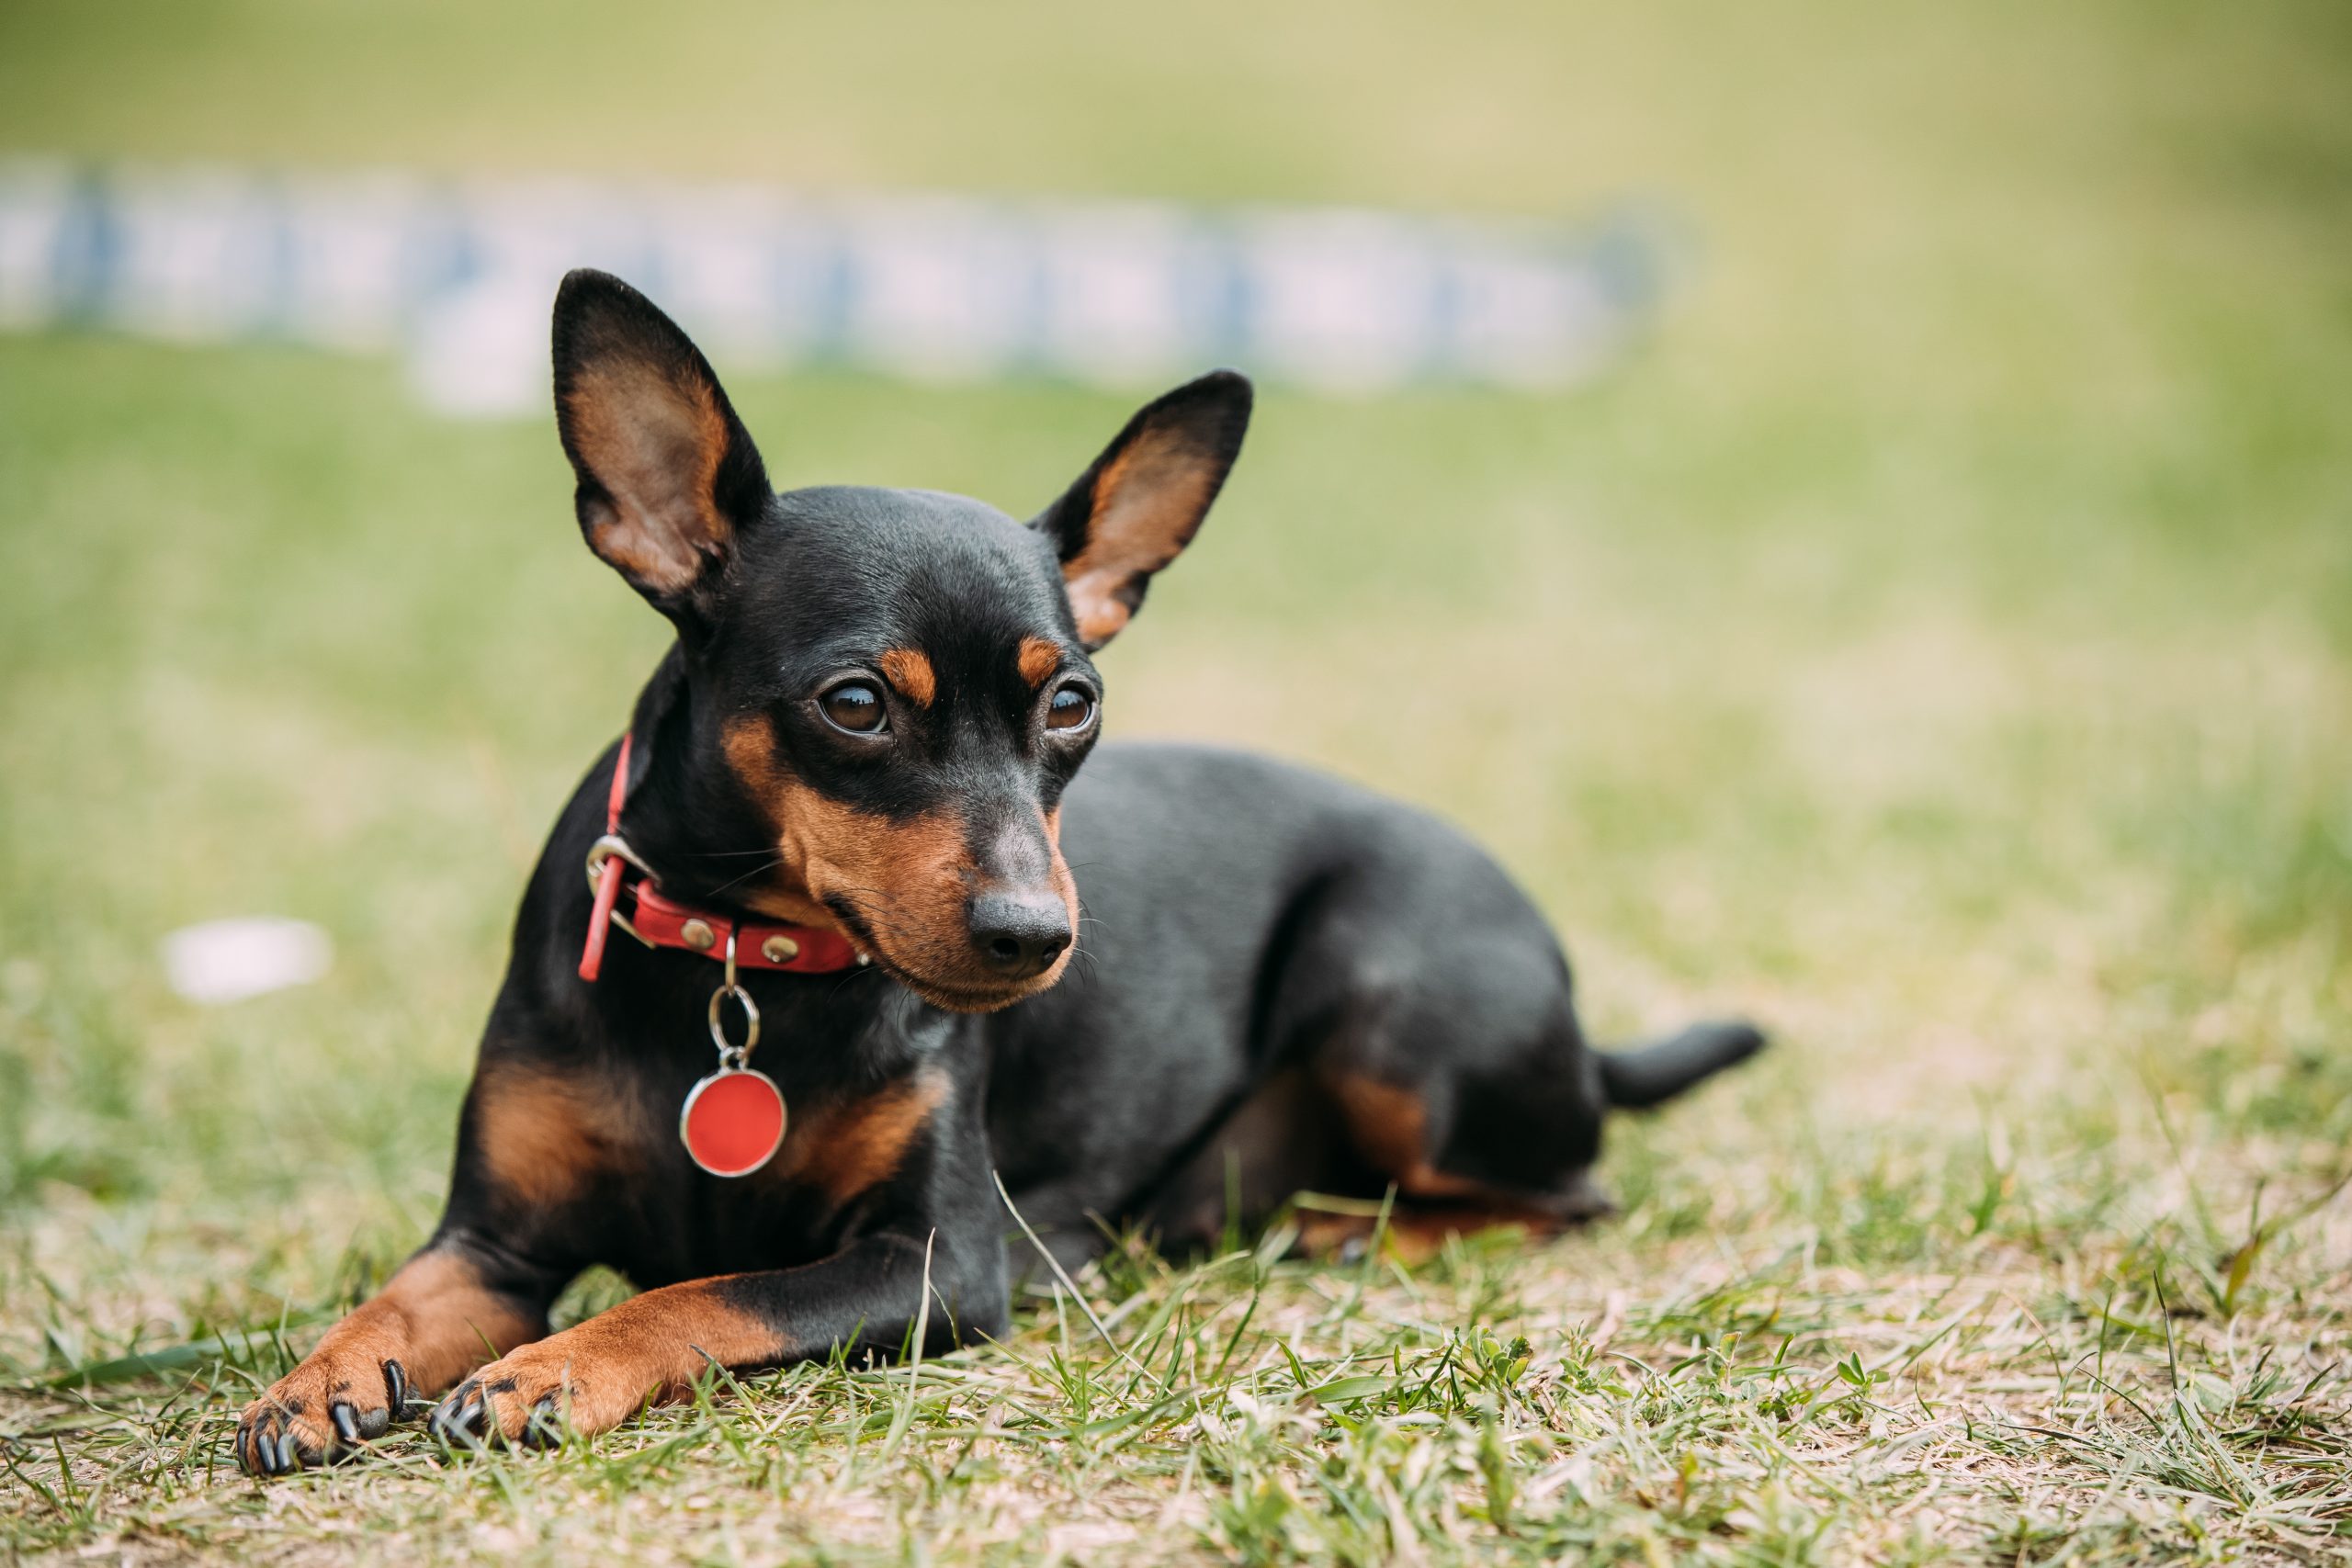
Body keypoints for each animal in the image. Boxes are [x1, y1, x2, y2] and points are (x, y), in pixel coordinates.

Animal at [229, 266, 1758, 1476]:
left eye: (1072, 702)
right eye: (855, 703)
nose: (1034, 934)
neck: (742, 967)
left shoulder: (935, 1263)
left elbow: (706, 1291)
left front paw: (550, 1367)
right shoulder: (492, 1239)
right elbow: (398, 1297)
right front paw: (314, 1376)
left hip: (1393, 999)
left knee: (1567, 1193)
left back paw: (1350, 1231)